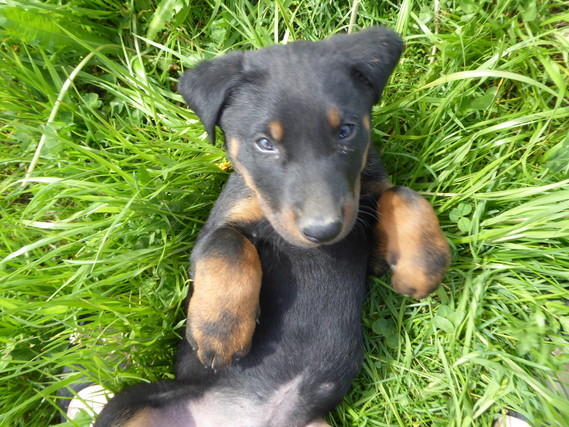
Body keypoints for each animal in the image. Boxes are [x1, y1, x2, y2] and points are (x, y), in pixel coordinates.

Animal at [95, 27, 450, 426]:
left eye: (346, 131)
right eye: (264, 143)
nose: (323, 231)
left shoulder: (363, 217)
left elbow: (402, 195)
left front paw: (421, 266)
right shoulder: (217, 226)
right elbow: (228, 245)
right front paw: (220, 332)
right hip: (126, 404)